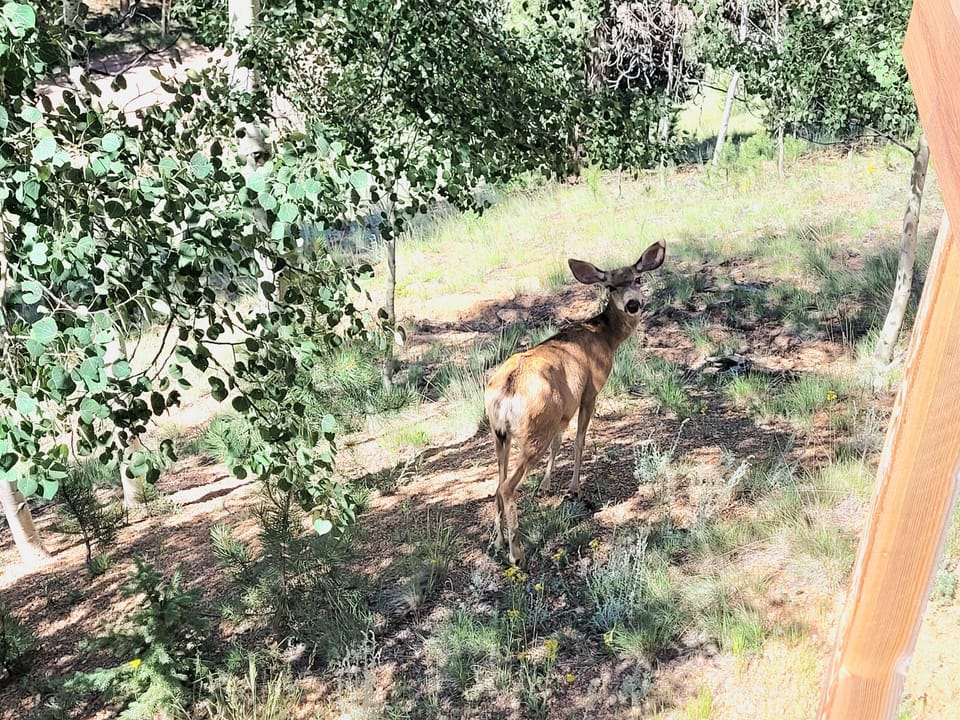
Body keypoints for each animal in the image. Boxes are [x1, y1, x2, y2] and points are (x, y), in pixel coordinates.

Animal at [484, 241, 666, 565]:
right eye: (610, 286)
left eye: (638, 279)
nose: (633, 304)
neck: (606, 338)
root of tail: (505, 391)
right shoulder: (590, 390)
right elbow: (580, 439)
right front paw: (574, 489)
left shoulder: (561, 413)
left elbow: (559, 442)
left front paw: (546, 486)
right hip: (532, 431)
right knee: (506, 486)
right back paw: (516, 553)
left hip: (500, 434)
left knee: (496, 483)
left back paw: (498, 541)